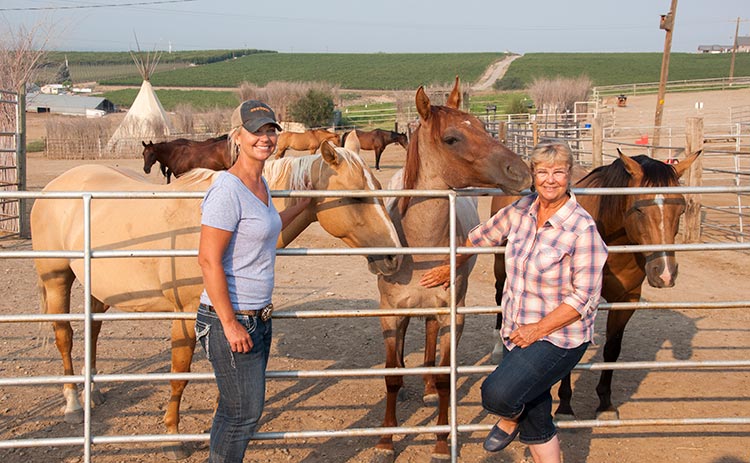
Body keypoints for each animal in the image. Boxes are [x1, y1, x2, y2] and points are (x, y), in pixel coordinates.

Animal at [31, 141, 402, 460]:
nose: (394, 258)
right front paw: (172, 438)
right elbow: (179, 376)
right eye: (355, 198)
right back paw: (73, 405)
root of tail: (54, 188)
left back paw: (92, 392)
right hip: (56, 278)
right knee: (64, 336)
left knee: (91, 333)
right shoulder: (186, 317)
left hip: (98, 289)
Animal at [376, 78, 536, 462]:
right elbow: (391, 376)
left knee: (431, 340)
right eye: (451, 138)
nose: (521, 171)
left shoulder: (453, 315)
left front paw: (439, 443)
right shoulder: (389, 313)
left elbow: (447, 378)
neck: (421, 247)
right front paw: (385, 441)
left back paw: (427, 388)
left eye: (481, 126)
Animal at [490, 150, 704, 422]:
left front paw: (605, 403)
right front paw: (565, 407)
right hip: (501, 267)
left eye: (681, 208)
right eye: (638, 208)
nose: (664, 273)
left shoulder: (627, 299)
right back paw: (498, 347)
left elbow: (612, 349)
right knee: (500, 298)